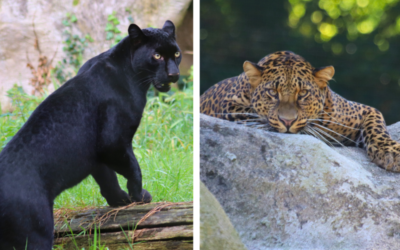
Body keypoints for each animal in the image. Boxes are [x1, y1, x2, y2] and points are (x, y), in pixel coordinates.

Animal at [202, 50, 400, 172]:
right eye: (272, 92)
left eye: (303, 93)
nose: (287, 121)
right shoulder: (228, 105)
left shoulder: (363, 110)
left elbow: (377, 128)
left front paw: (391, 153)